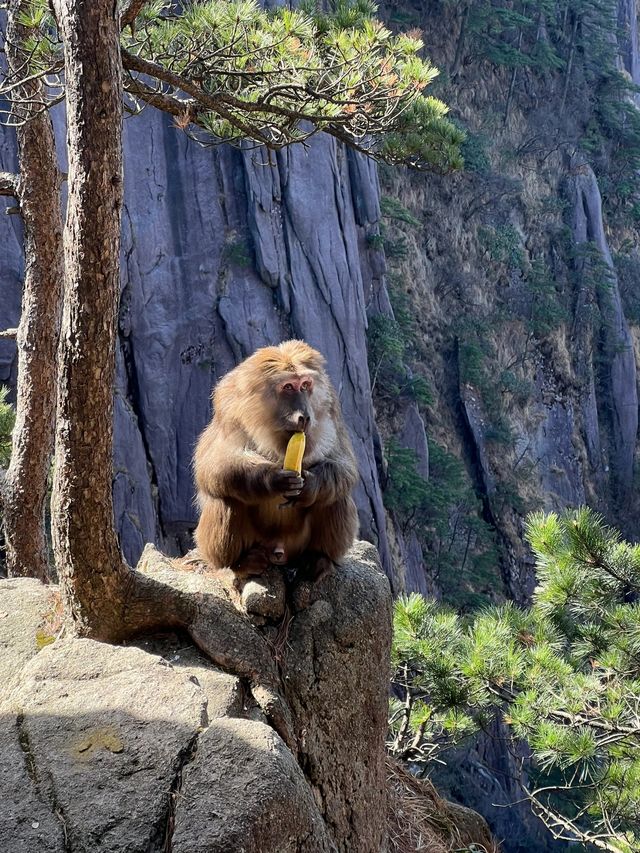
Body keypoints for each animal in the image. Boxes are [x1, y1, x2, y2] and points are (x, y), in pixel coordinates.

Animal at [192, 336, 358, 576]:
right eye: (288, 387)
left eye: (305, 385)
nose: (304, 416)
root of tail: (279, 551)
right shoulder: (229, 406)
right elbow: (213, 466)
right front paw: (272, 479)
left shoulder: (331, 407)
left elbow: (345, 466)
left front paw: (310, 484)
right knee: (226, 493)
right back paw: (240, 563)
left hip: (297, 544)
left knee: (335, 493)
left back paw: (318, 558)